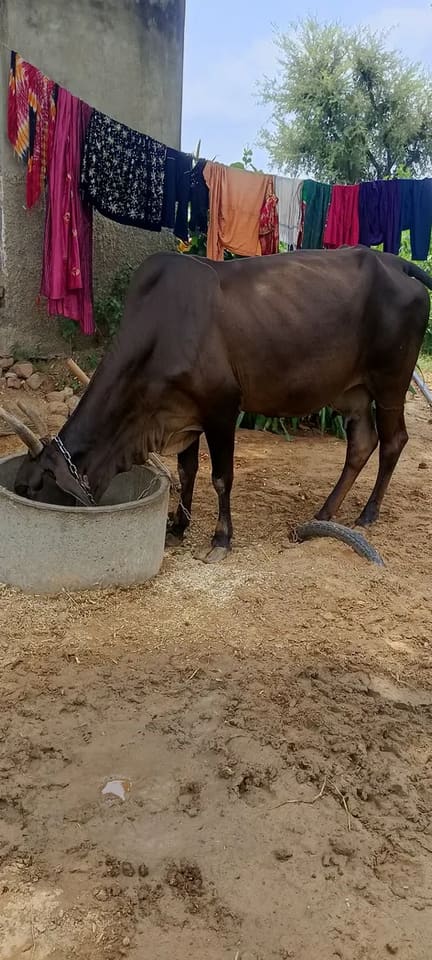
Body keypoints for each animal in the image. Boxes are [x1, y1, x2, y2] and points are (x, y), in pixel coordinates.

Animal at [8, 246, 432, 562]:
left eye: (31, 487)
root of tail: (396, 263)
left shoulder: (221, 409)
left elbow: (220, 477)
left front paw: (220, 540)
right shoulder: (181, 413)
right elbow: (186, 472)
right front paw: (178, 527)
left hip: (390, 385)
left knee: (393, 442)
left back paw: (367, 514)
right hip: (353, 393)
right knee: (361, 444)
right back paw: (325, 513)